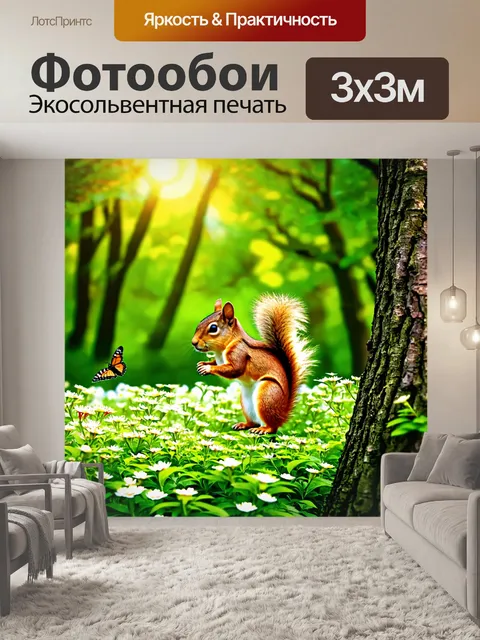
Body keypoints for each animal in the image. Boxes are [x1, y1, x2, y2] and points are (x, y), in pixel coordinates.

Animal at [192, 294, 315, 435]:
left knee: (272, 427)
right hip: (246, 402)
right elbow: (217, 363)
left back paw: (263, 429)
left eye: (213, 328)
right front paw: (202, 364)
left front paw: (208, 368)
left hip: (267, 395)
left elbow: (235, 369)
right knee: (253, 422)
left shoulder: (239, 352)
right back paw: (244, 425)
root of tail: (282, 415)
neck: (221, 350)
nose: (193, 342)